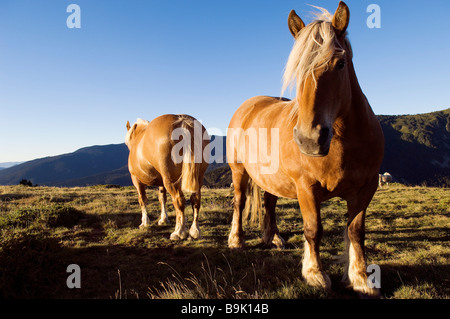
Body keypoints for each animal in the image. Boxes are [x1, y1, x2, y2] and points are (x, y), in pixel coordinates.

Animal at [229, 1, 384, 298]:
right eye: (298, 70)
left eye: (340, 63)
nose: (310, 139)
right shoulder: (306, 188)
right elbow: (313, 230)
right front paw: (315, 274)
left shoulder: (366, 188)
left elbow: (356, 231)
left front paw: (360, 277)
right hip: (239, 172)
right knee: (240, 202)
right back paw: (236, 240)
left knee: (270, 202)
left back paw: (273, 237)